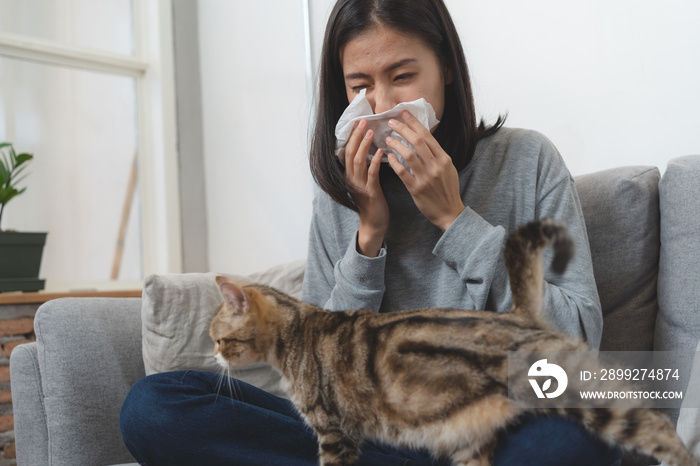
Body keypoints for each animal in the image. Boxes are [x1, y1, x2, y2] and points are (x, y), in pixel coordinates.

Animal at [209, 219, 700, 466]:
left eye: (218, 338)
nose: (211, 356)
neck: (297, 333)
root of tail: (520, 314)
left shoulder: (334, 431)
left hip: (582, 396)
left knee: (657, 427)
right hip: (468, 435)